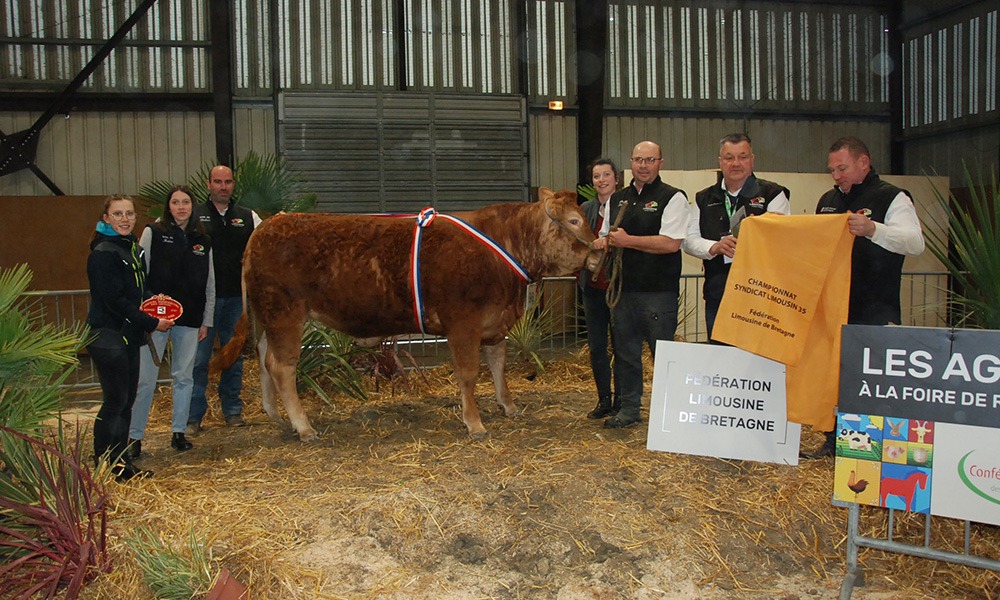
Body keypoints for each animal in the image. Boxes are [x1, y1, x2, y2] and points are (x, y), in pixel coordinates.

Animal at [219, 188, 600, 440]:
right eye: (574, 220)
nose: (600, 250)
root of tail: (266, 226)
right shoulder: (463, 323)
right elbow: (469, 373)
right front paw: (474, 423)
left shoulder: (495, 322)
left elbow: (498, 366)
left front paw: (508, 405)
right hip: (285, 313)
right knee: (282, 365)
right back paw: (303, 425)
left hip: (269, 317)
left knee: (264, 356)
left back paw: (275, 415)